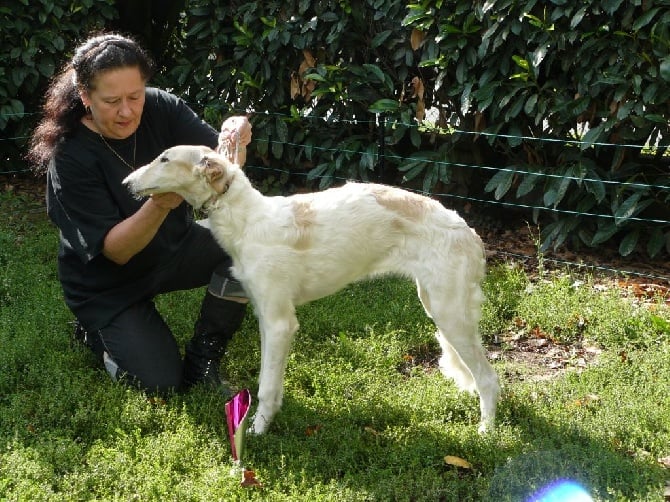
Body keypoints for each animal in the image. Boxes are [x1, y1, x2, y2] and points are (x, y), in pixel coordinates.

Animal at [123, 143, 502, 434]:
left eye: (164, 159)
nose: (127, 183)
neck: (247, 220)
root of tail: (469, 232)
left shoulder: (280, 322)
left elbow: (266, 386)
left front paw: (256, 432)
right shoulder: (266, 317)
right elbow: (270, 383)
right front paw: (265, 423)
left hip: (450, 314)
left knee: (489, 378)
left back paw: (486, 432)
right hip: (436, 305)